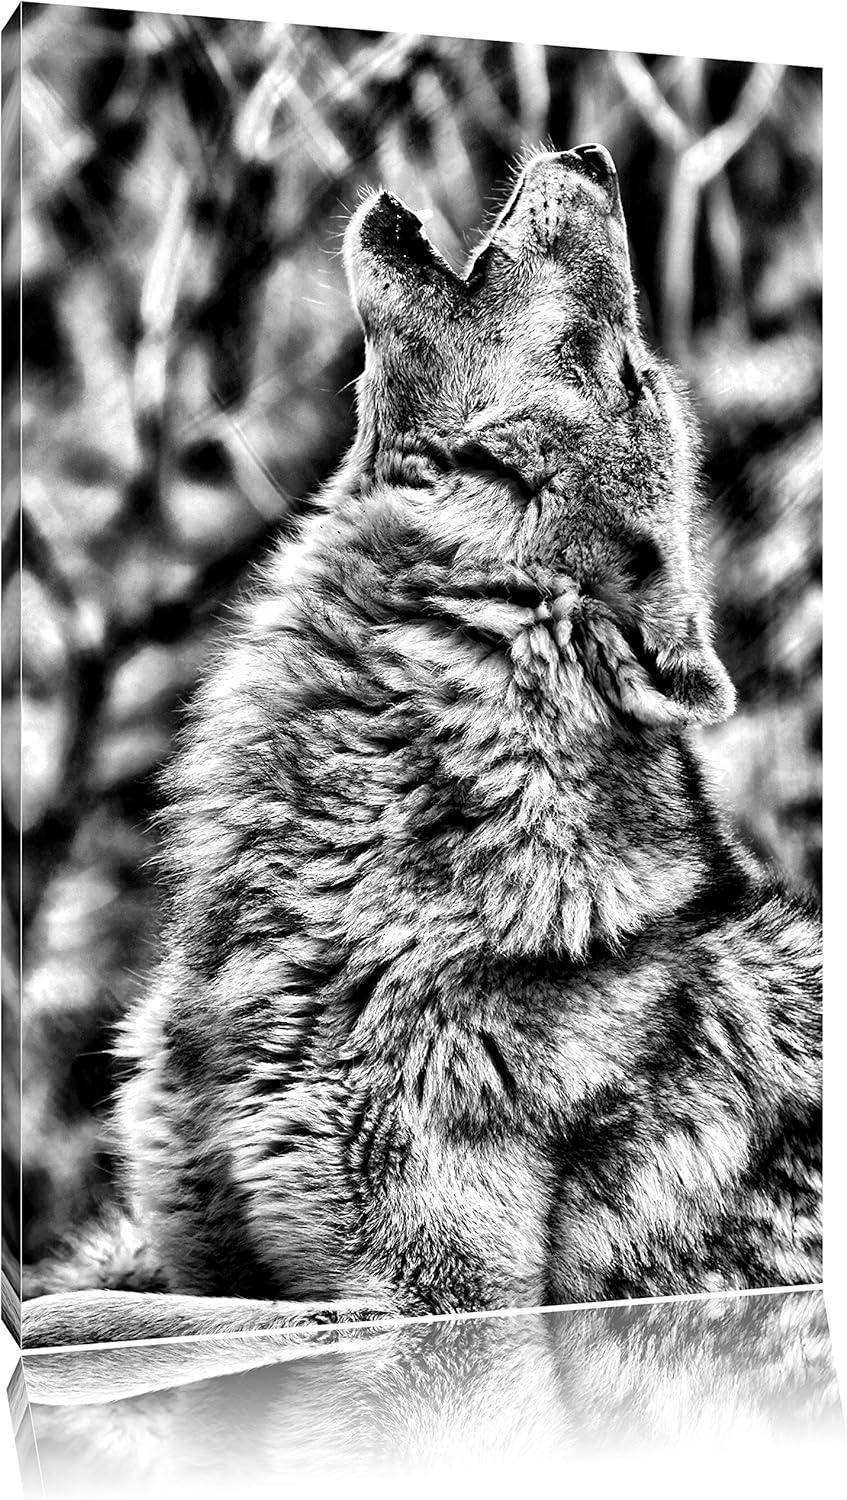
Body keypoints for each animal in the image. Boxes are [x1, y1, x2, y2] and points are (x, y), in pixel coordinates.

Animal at [22, 144, 821, 1349]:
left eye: (623, 371)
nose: (592, 156)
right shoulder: (198, 1243)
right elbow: (101, 1293)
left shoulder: (431, 1296)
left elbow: (108, 1319)